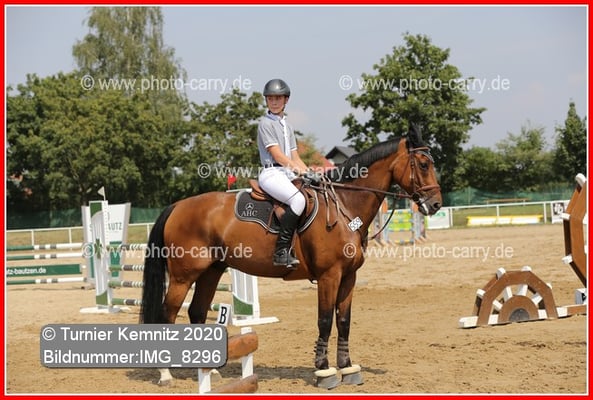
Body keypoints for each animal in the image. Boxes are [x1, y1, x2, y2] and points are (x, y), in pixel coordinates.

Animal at [140, 125, 442, 388]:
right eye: (423, 165)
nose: (436, 204)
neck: (345, 207)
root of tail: (177, 206)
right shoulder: (329, 276)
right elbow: (325, 320)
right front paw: (324, 371)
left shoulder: (349, 277)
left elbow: (344, 321)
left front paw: (347, 367)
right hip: (183, 276)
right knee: (168, 314)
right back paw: (166, 375)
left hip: (211, 272)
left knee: (197, 312)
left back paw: (210, 370)